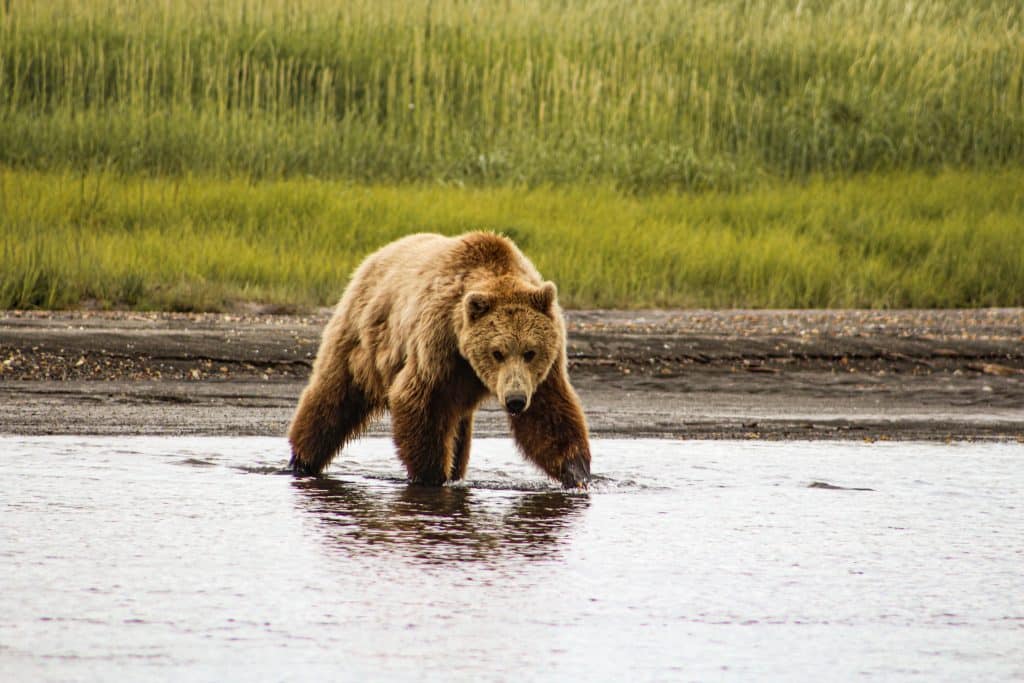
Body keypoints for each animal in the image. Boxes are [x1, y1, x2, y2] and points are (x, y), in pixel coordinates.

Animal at [288, 232, 593, 489]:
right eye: (497, 352)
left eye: (530, 352)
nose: (515, 400)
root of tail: (375, 256)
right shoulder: (439, 345)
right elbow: (421, 401)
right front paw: (432, 476)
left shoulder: (544, 369)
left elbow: (549, 413)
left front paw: (577, 474)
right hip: (360, 339)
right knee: (333, 395)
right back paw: (302, 461)